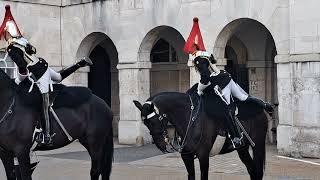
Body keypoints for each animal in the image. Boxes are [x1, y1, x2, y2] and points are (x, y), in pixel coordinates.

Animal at [134, 84, 268, 180]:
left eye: (153, 122)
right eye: (145, 123)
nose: (160, 146)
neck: (190, 118)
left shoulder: (203, 156)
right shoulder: (186, 157)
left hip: (258, 145)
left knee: (258, 171)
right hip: (242, 148)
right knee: (252, 170)